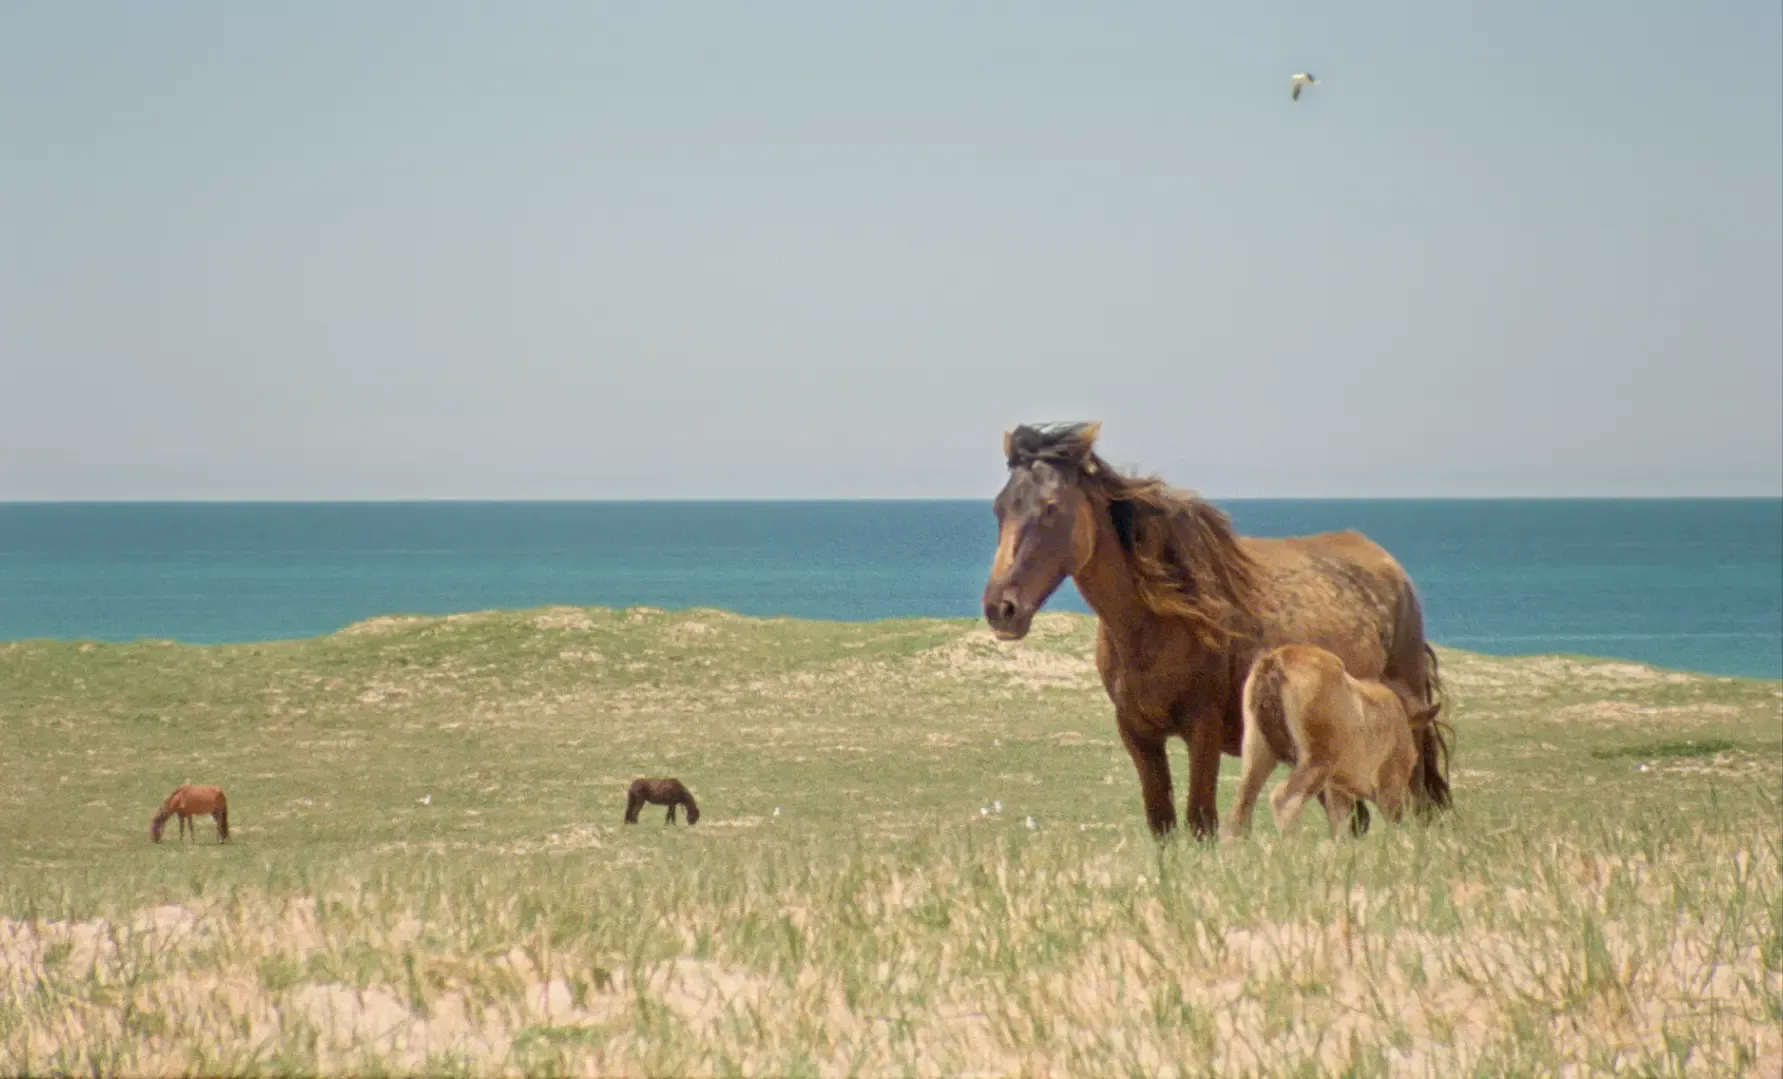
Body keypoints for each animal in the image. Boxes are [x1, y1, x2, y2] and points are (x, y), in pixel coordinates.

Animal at [1225, 644, 1446, 839]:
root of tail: (1274, 661)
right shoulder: (1388, 786)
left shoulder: (1338, 791)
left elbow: (1340, 828)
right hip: (1315, 762)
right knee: (1284, 801)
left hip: (1258, 753)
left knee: (1241, 808)